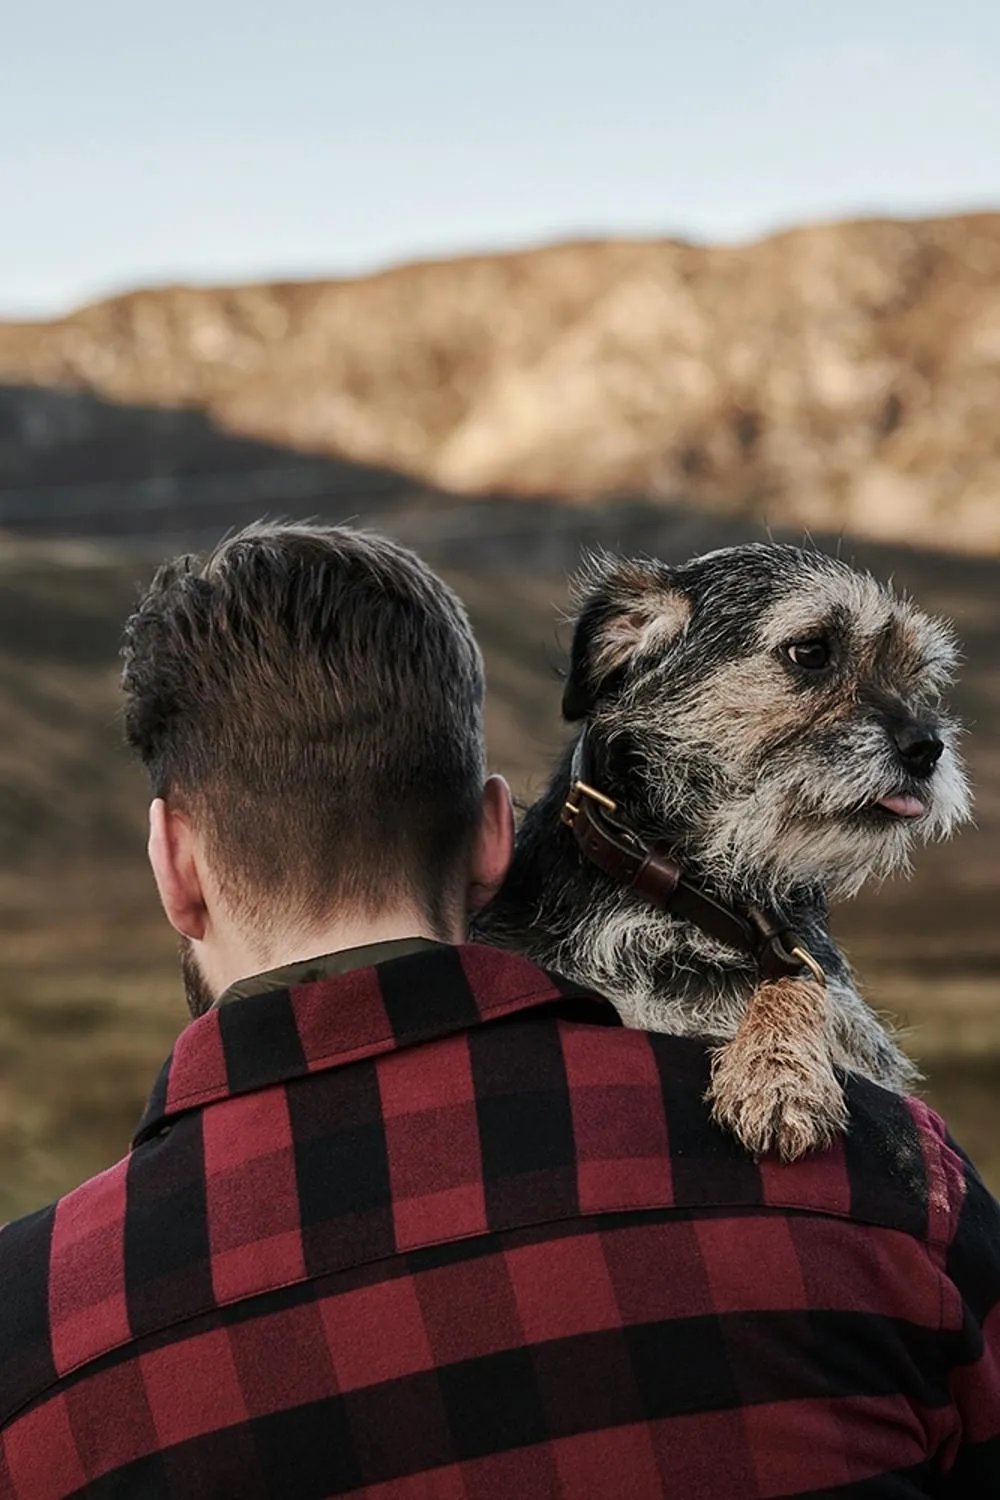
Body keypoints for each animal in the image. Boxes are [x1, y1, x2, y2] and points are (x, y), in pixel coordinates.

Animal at [473, 543, 971, 1158]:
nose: (928, 747)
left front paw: (778, 1075)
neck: (681, 892)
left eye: (918, 673)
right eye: (811, 651)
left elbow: (799, 989)